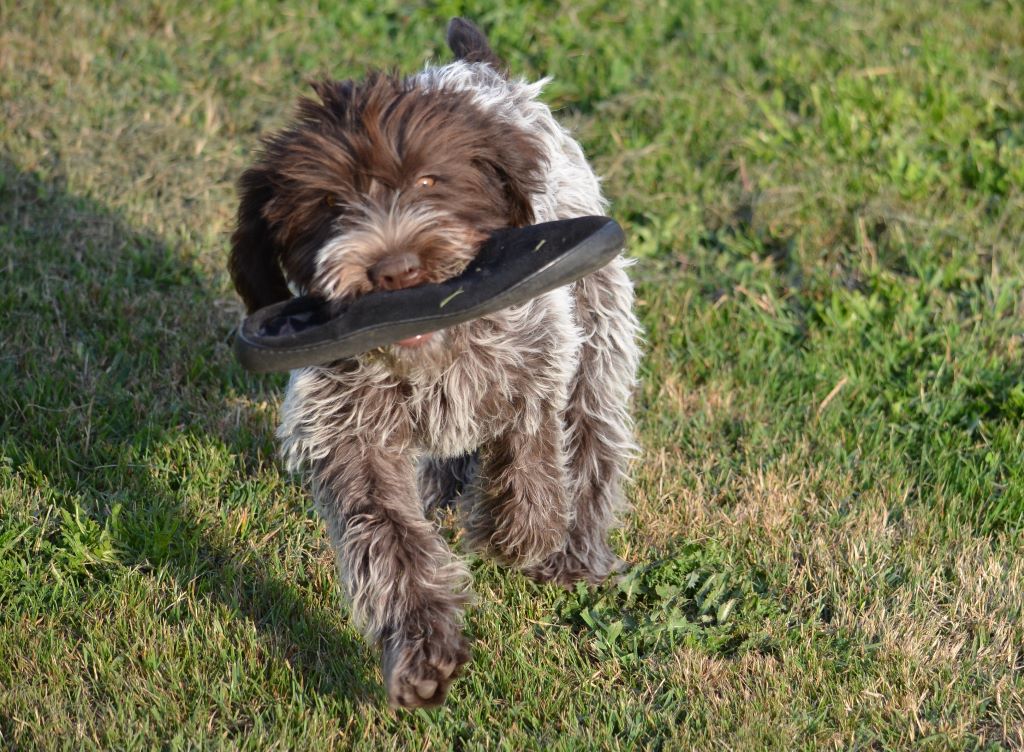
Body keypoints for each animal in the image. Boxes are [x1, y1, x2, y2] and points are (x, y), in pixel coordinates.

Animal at [230, 19, 638, 713]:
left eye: (428, 182)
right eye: (329, 204)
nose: (395, 271)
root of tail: (477, 67)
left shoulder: (538, 352)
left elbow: (530, 441)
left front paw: (519, 533)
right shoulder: (347, 433)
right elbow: (389, 541)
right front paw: (424, 652)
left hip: (599, 331)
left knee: (589, 434)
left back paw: (574, 553)